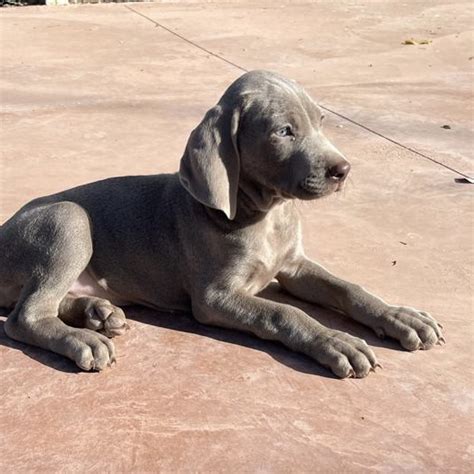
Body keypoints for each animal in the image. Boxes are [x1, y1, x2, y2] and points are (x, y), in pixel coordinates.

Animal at [0, 70, 444, 380]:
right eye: (284, 131)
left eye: (321, 121)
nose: (343, 170)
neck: (266, 215)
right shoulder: (213, 297)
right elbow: (284, 313)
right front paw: (335, 341)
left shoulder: (294, 266)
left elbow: (349, 288)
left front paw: (401, 316)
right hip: (68, 220)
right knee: (26, 316)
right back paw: (82, 337)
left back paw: (98, 312)